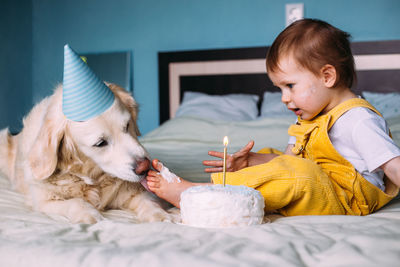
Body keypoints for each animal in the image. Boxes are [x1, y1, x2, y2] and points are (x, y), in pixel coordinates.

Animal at [0, 84, 175, 224]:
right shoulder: (44, 201)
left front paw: (160, 215)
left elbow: (149, 201)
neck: (93, 177)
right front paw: (90, 214)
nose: (145, 167)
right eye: (100, 143)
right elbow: (75, 202)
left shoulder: (135, 191)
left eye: (127, 125)